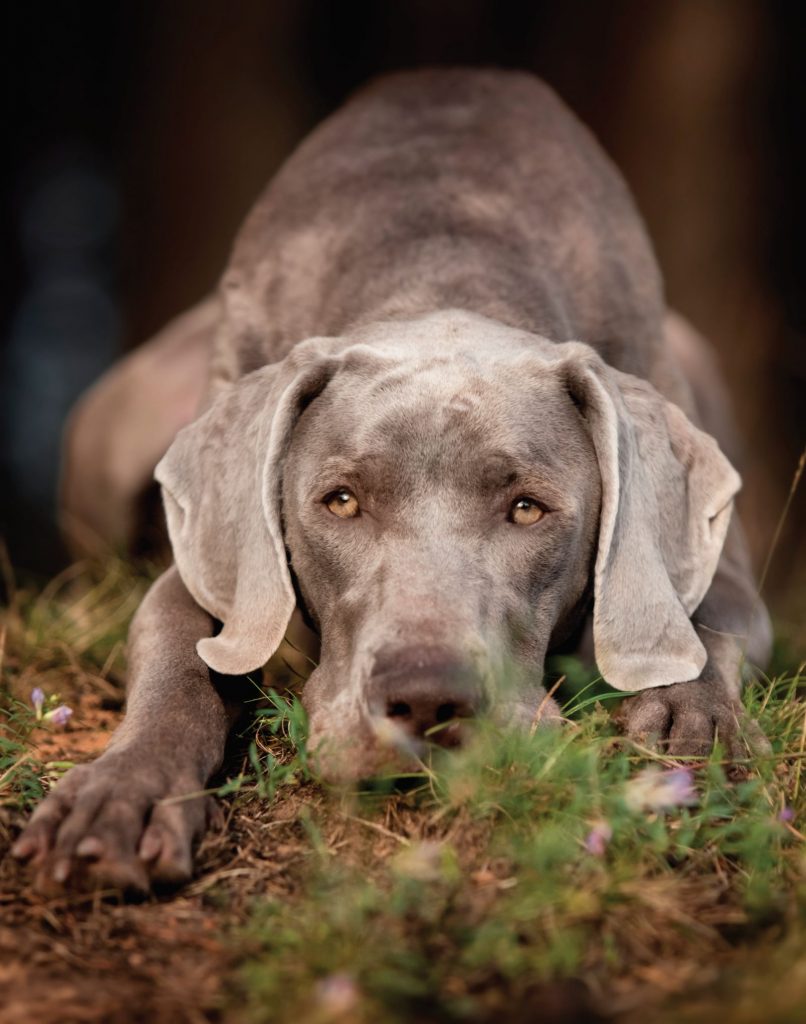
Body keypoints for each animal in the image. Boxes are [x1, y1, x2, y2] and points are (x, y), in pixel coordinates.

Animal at [11, 68, 770, 892]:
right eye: (341, 502)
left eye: (527, 509)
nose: (428, 701)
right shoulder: (210, 567)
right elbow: (176, 645)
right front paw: (123, 793)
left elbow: (710, 616)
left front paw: (693, 718)